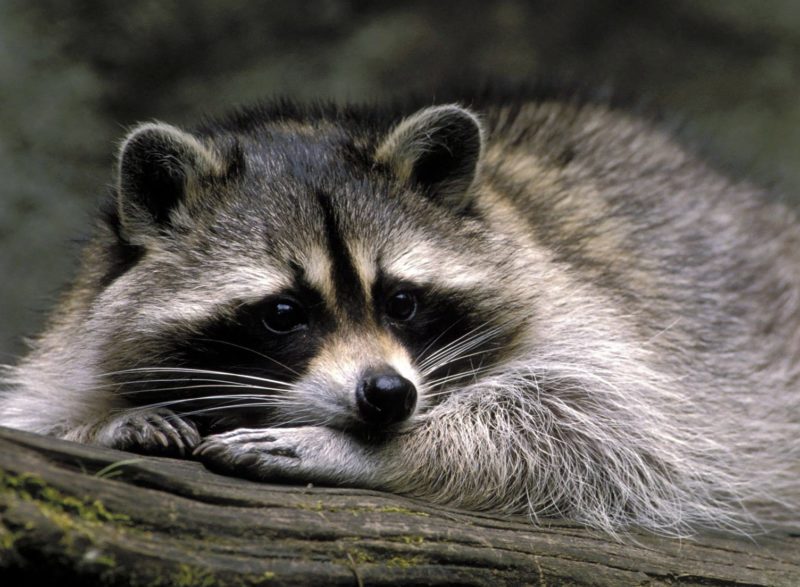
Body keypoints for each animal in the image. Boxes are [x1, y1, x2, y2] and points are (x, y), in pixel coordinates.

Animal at [1, 91, 798, 537]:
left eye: (402, 300)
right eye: (284, 312)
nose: (388, 395)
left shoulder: (583, 308)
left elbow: (601, 429)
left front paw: (362, 450)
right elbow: (35, 410)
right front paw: (105, 420)